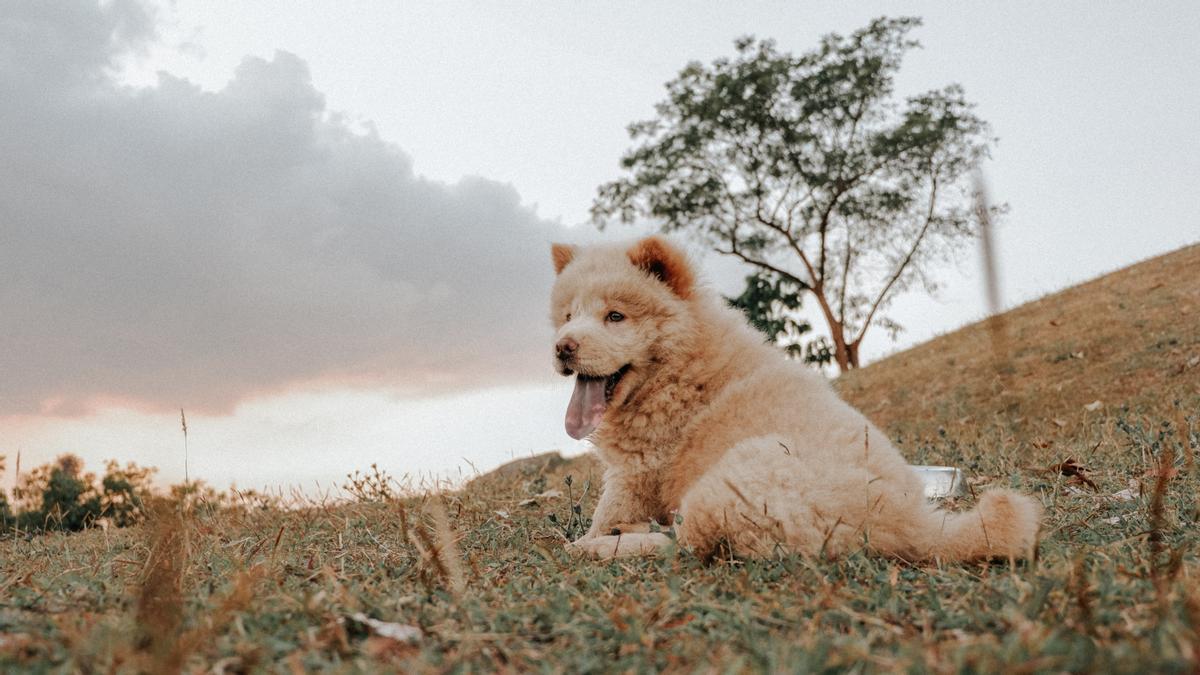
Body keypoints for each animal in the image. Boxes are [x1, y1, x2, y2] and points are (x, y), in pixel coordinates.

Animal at [549, 234, 1041, 559]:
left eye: (615, 316)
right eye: (569, 316)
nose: (563, 346)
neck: (680, 365)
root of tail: (915, 525)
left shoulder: (637, 470)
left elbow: (604, 511)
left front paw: (584, 539)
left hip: (742, 473)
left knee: (687, 544)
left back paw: (605, 546)